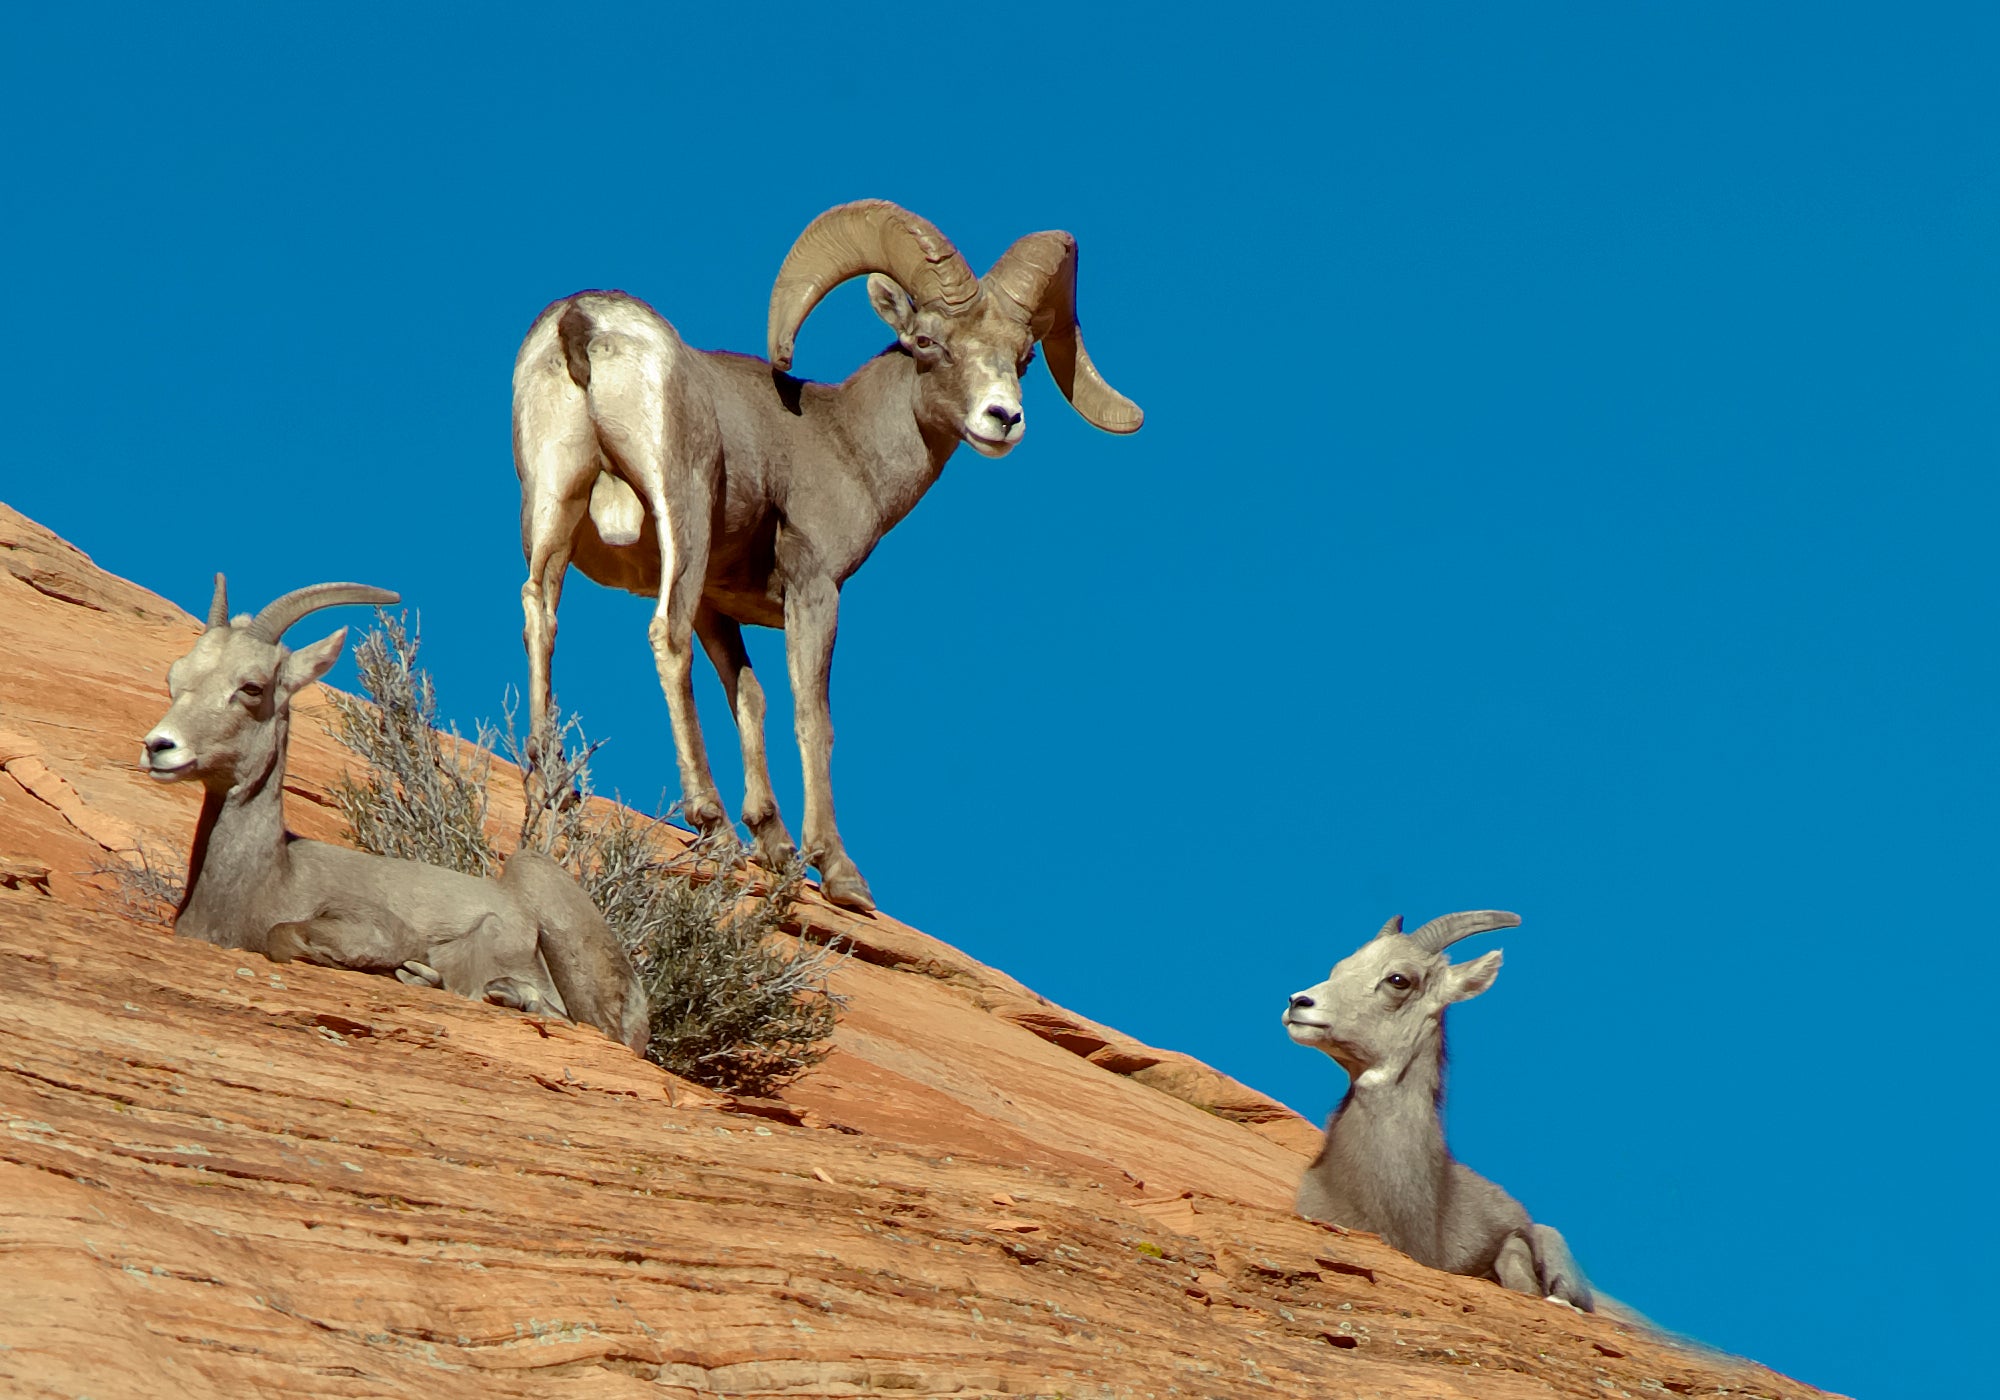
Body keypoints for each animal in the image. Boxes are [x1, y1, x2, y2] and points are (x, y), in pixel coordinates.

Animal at [141, 576, 648, 1054]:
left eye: (251, 687)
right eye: (175, 677)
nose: (159, 747)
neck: (266, 882)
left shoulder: (379, 929)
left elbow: (282, 936)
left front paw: (411, 975)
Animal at [512, 199, 1144, 911]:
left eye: (1025, 357)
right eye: (927, 342)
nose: (1002, 418)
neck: (844, 442)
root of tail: (585, 321)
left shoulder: (718, 607)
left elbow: (750, 698)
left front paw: (776, 844)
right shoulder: (815, 589)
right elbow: (812, 716)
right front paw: (838, 872)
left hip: (554, 503)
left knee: (541, 611)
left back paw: (553, 781)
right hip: (682, 509)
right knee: (665, 637)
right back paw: (711, 823)